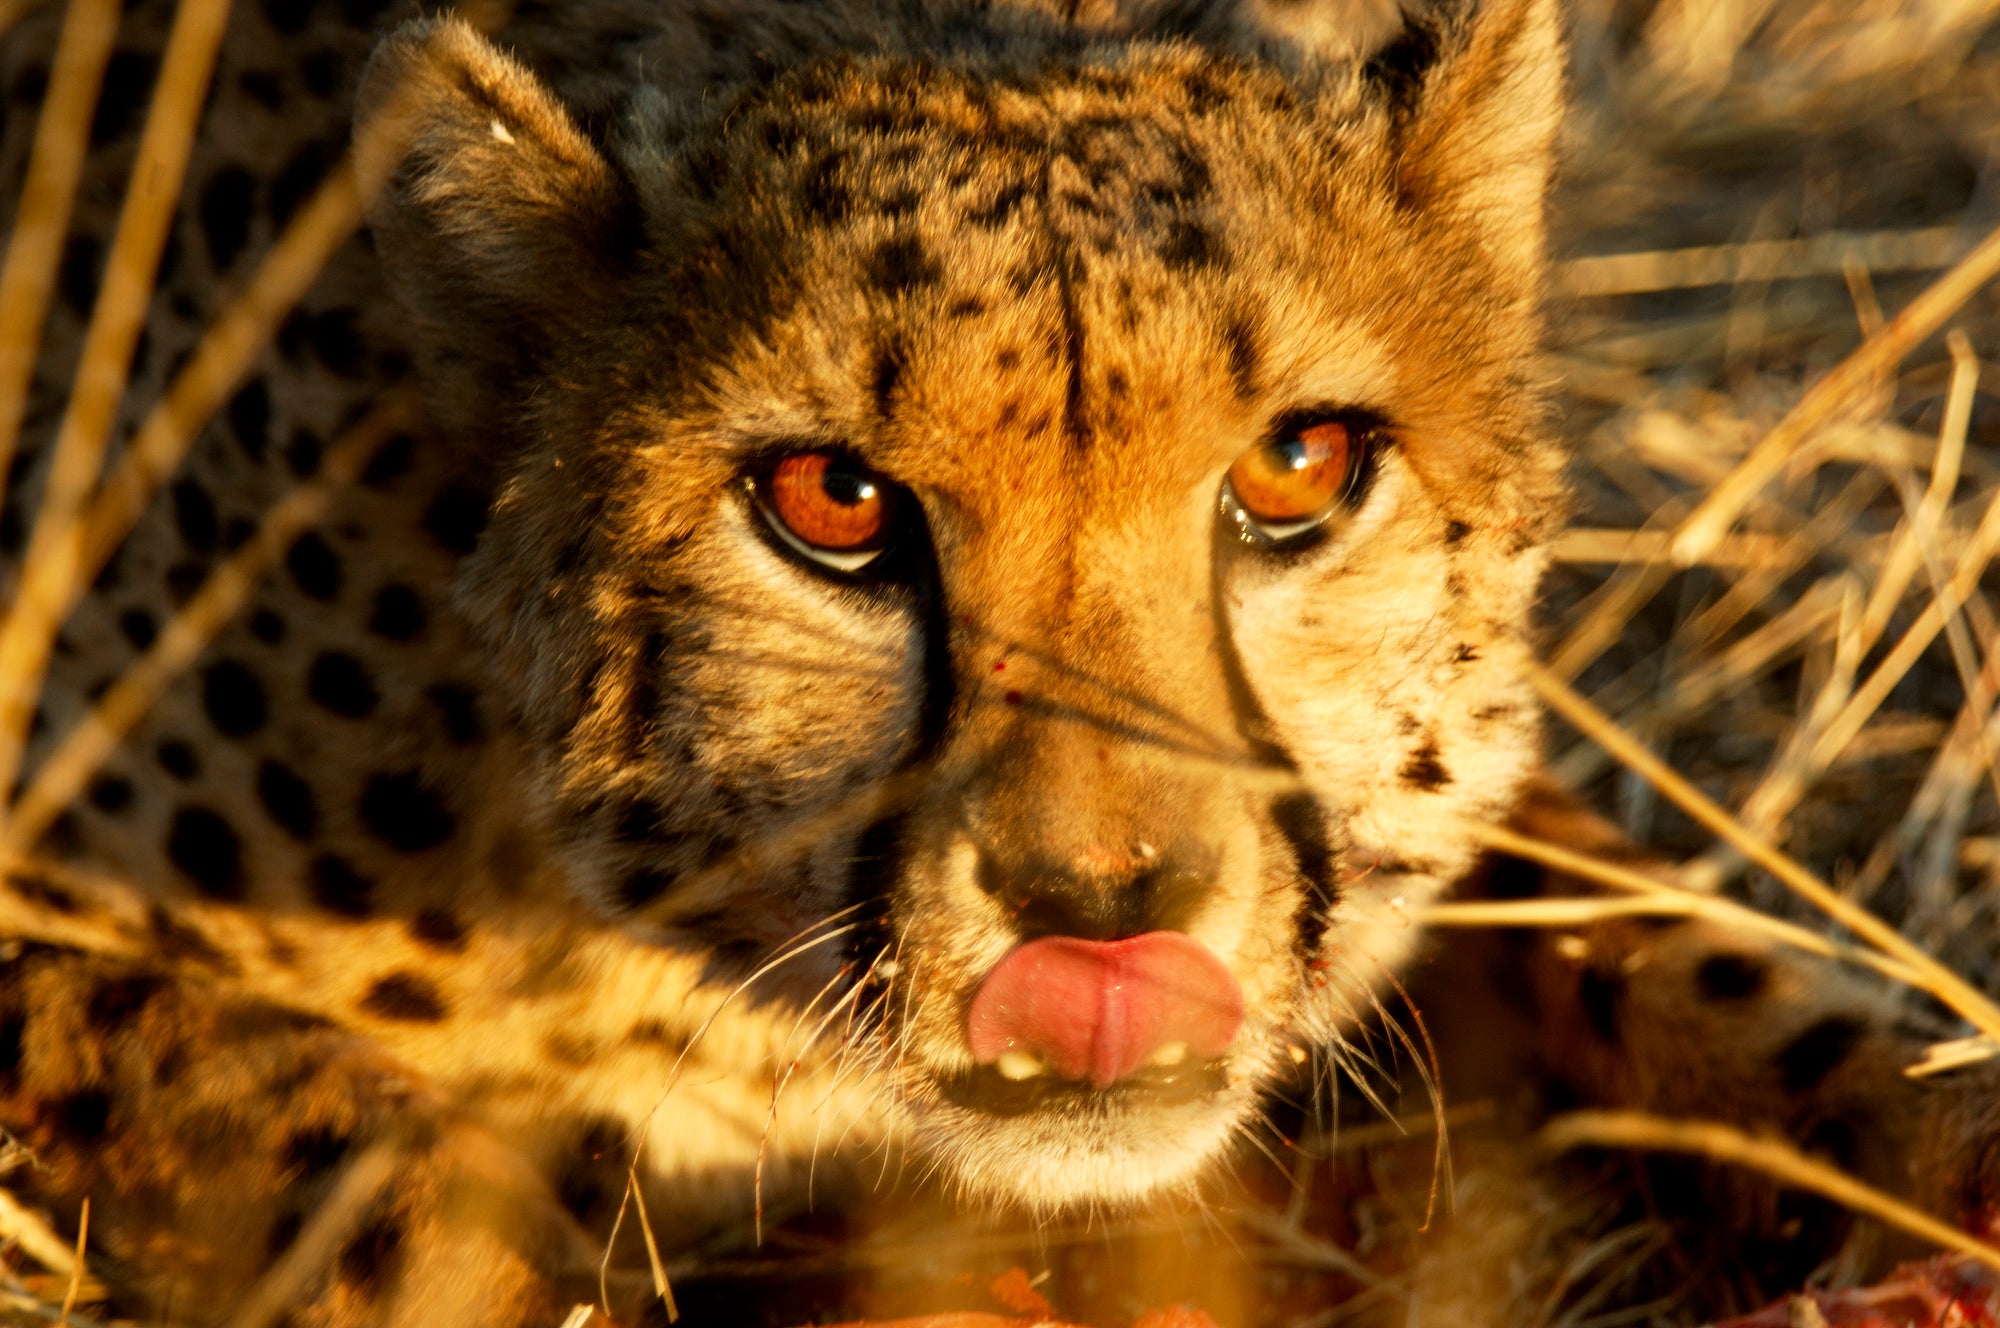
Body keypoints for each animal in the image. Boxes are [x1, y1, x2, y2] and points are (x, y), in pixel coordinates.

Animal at [0, 0, 1997, 1324]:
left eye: (1302, 467)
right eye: (829, 498)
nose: (1096, 905)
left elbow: (1676, 944)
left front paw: (1929, 1159)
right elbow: (412, 1202)